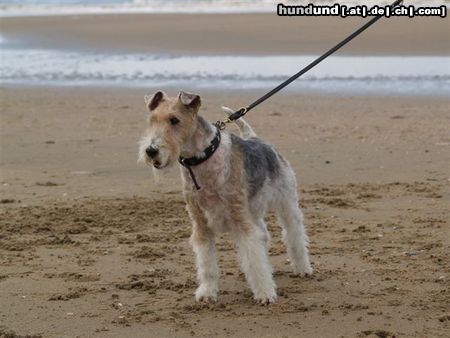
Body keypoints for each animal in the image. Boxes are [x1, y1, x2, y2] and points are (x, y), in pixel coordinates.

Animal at [138, 90, 312, 304]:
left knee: (294, 234)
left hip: (286, 202)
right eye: (151, 120)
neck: (202, 159)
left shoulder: (239, 217)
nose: (151, 150)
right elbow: (207, 264)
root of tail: (256, 138)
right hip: (252, 209)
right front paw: (207, 292)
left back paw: (303, 268)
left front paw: (265, 294)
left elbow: (254, 257)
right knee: (263, 235)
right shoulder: (200, 223)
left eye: (174, 120)